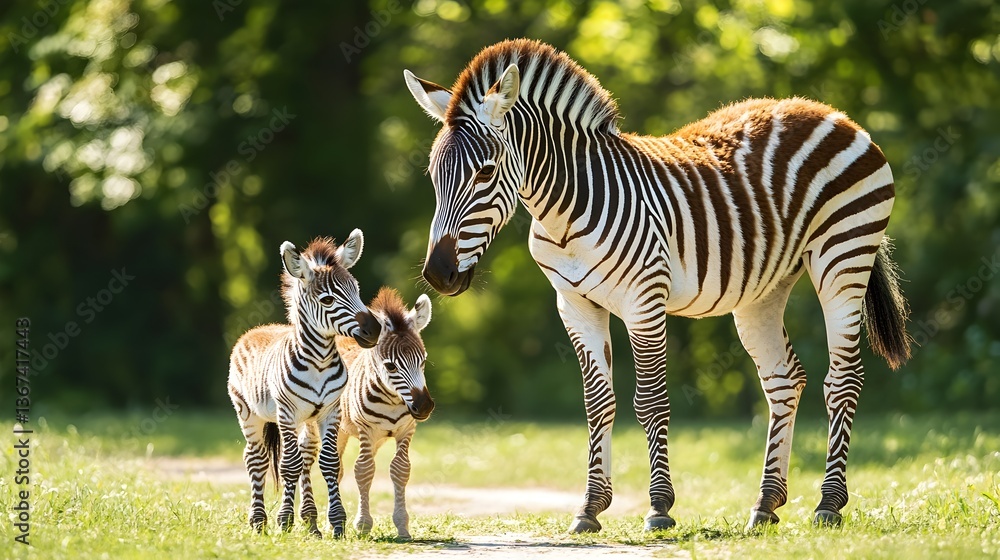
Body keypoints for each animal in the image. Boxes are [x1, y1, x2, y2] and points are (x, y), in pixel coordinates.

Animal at [227, 231, 382, 538]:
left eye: (357, 291)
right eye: (328, 300)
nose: (375, 330)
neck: (319, 362)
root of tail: (257, 328)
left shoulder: (331, 411)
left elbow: (329, 463)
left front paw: (336, 523)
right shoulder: (286, 412)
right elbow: (289, 464)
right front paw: (284, 520)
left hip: (306, 421)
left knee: (306, 456)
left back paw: (310, 522)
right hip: (248, 414)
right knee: (256, 459)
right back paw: (258, 521)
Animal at [316, 287, 434, 539]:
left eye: (423, 361)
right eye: (391, 366)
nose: (424, 406)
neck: (392, 400)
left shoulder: (407, 429)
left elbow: (401, 469)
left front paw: (402, 526)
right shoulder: (365, 431)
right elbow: (363, 470)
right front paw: (362, 525)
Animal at [403, 39, 911, 533]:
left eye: (485, 172)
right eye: (432, 175)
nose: (438, 274)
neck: (565, 213)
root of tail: (828, 111)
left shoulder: (644, 300)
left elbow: (650, 401)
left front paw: (659, 508)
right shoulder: (574, 304)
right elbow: (598, 403)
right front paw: (590, 508)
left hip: (843, 256)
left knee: (843, 379)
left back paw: (829, 504)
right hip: (764, 290)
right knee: (784, 378)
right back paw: (766, 504)